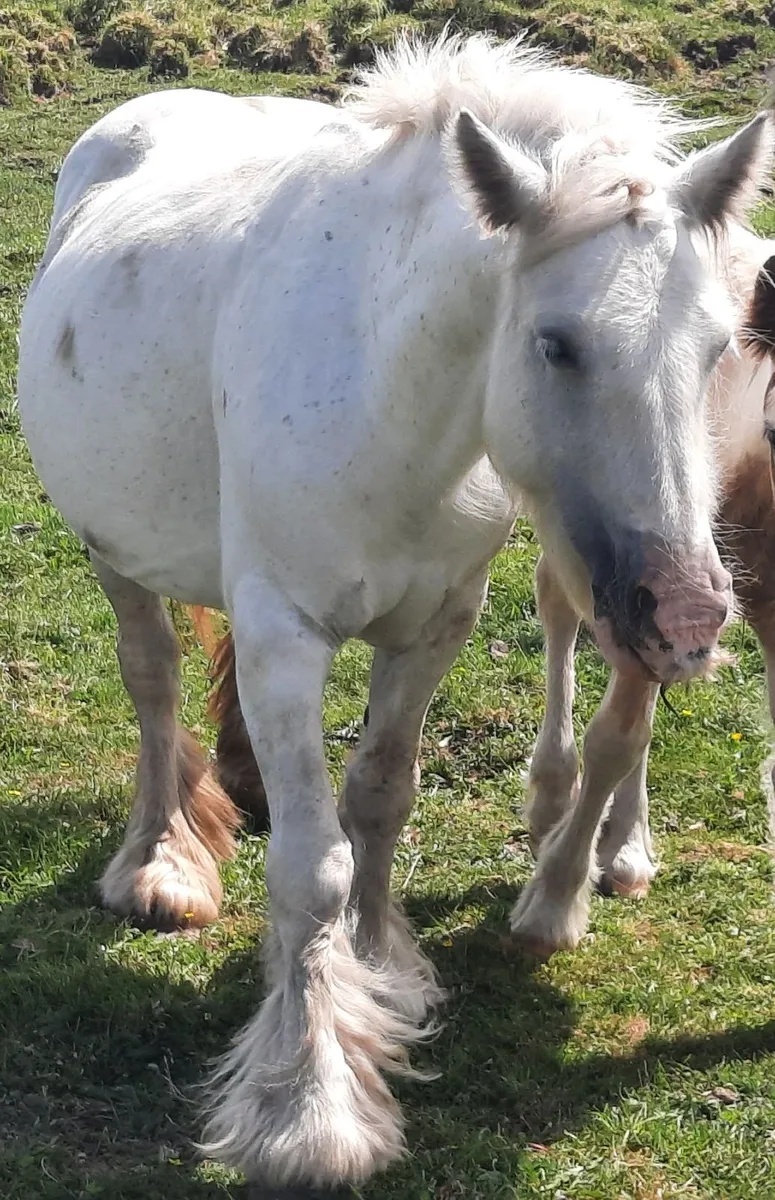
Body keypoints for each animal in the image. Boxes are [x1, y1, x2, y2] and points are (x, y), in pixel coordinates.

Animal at [17, 32, 771, 1191]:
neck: (395, 397)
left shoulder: (434, 629)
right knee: (152, 688)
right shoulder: (285, 638)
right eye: (555, 344)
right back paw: (158, 862)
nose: (687, 619)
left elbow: (378, 800)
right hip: (114, 555)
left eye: (718, 345)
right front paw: (306, 1103)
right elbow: (311, 868)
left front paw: (377, 972)